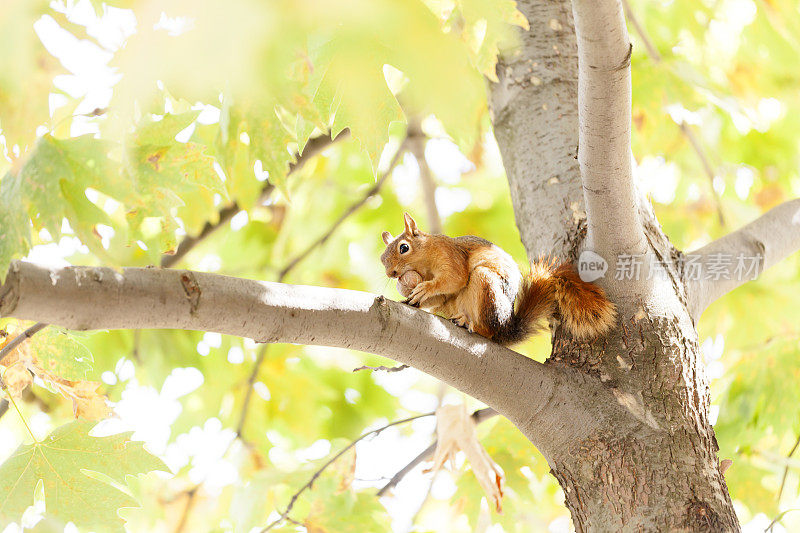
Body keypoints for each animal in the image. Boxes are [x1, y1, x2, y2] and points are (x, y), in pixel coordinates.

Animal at [378, 213, 616, 344]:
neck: (424, 263)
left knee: (487, 330)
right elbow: (440, 297)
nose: (391, 274)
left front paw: (426, 288)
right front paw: (412, 299)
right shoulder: (442, 295)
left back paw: (471, 324)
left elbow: (455, 278)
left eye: (404, 248)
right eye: (382, 259)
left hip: (486, 288)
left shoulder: (450, 255)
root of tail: (505, 328)